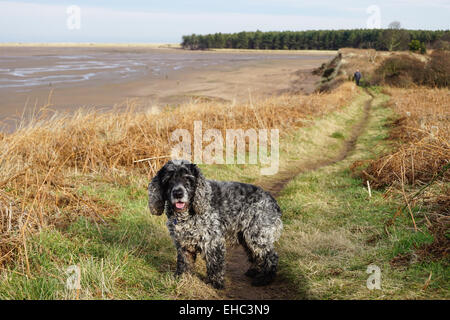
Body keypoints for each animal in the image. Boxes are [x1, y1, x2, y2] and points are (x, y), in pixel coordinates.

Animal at [148, 159, 282, 288]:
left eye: (188, 178)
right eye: (168, 179)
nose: (178, 193)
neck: (187, 214)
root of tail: (272, 201)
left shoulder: (212, 241)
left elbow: (215, 264)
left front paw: (215, 283)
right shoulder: (183, 244)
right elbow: (184, 263)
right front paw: (182, 278)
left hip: (257, 235)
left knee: (271, 256)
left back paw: (264, 279)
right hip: (246, 237)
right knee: (256, 255)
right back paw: (254, 271)